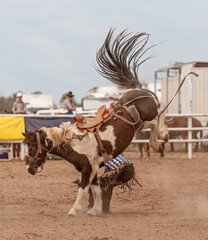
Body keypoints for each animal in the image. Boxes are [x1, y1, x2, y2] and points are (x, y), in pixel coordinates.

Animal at [23, 28, 171, 216]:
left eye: (31, 148)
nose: (30, 169)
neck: (74, 142)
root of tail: (137, 90)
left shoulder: (88, 169)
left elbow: (83, 189)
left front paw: (74, 210)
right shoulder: (92, 170)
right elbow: (96, 189)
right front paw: (96, 209)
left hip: (150, 109)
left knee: (162, 106)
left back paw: (163, 135)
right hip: (140, 123)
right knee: (152, 124)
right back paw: (155, 143)